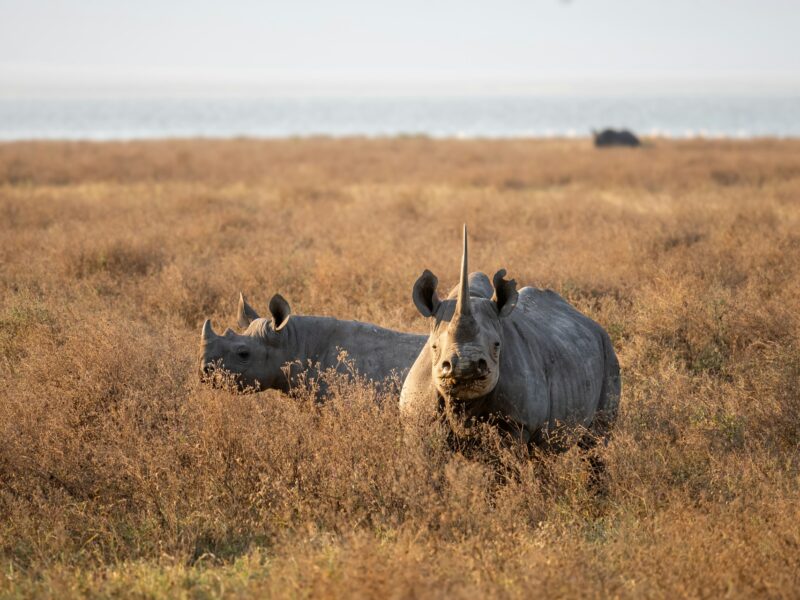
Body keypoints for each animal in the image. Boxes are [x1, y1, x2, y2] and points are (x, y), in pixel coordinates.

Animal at [400, 227, 621, 445]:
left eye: (497, 345)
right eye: (434, 347)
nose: (465, 367)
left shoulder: (517, 423)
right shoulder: (418, 419)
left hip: (607, 352)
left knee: (596, 439)